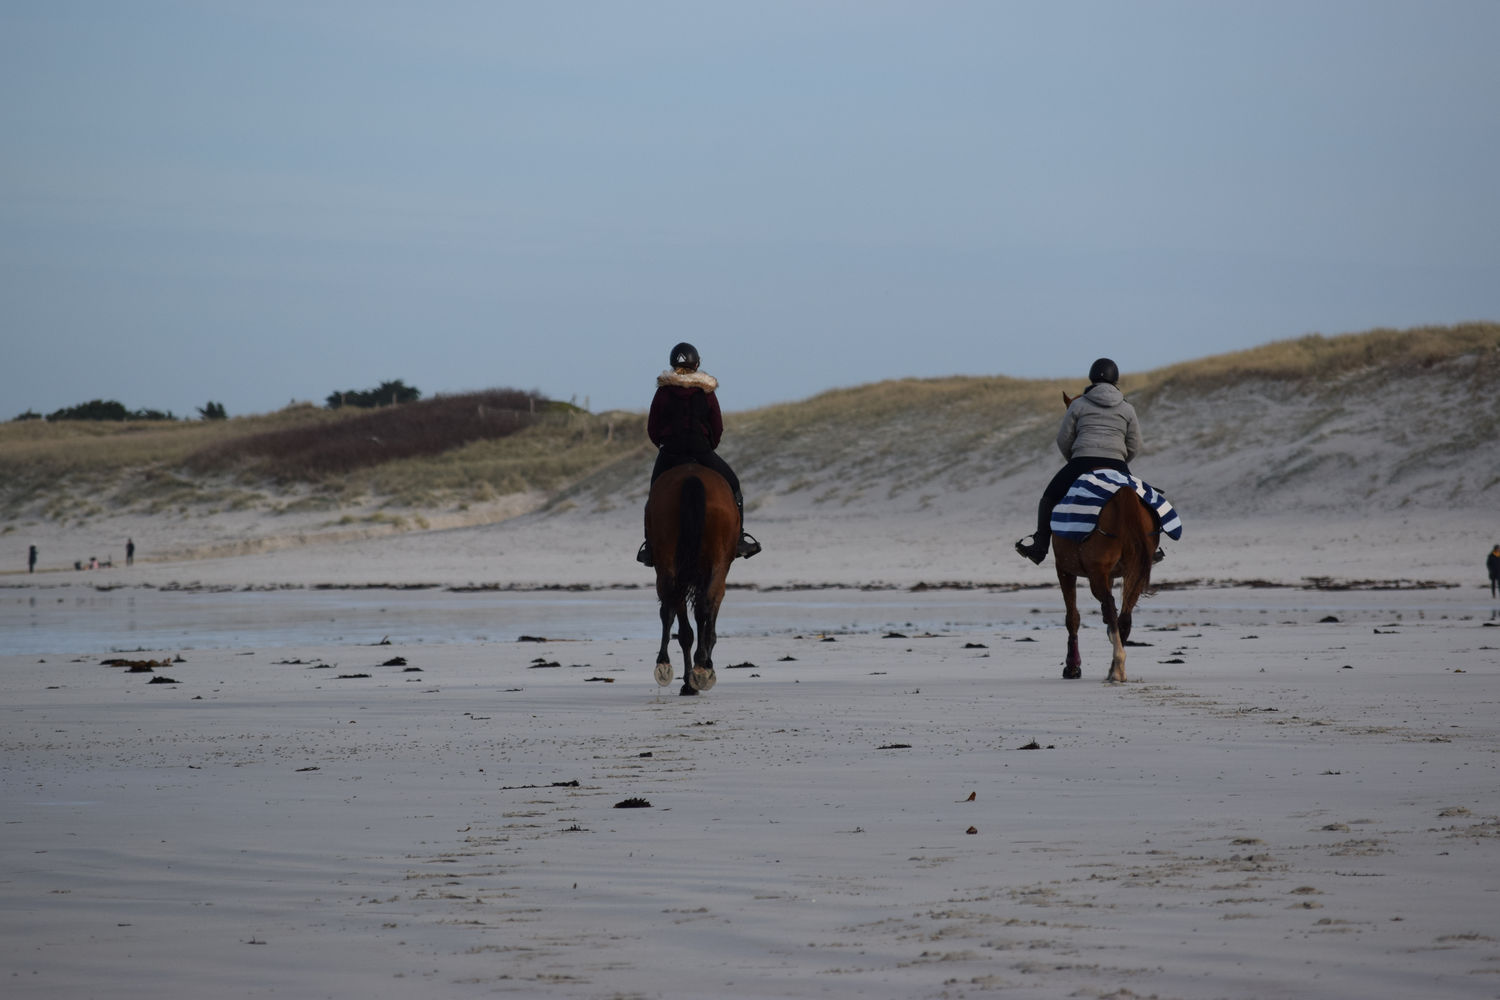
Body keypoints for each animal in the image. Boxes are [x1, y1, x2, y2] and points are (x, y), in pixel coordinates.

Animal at [645, 461, 738, 695]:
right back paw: (700, 669)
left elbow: (671, 615)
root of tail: (692, 476)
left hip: (668, 565)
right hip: (716, 565)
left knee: (681, 618)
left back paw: (671, 667)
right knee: (703, 607)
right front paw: (702, 668)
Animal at [1050, 482, 1152, 680]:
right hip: (1134, 572)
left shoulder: (1064, 569)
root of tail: (1123, 493)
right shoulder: (1111, 575)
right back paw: (1115, 666)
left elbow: (1072, 617)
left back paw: (1117, 666)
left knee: (1110, 607)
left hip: (1095, 574)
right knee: (1124, 617)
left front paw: (1072, 667)